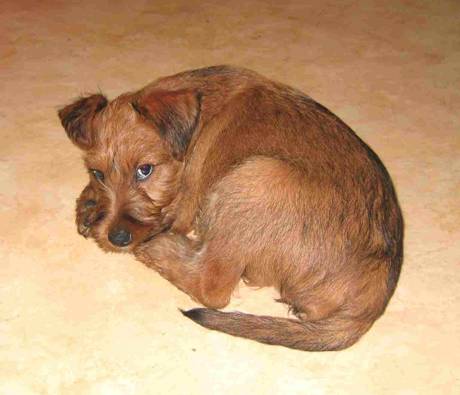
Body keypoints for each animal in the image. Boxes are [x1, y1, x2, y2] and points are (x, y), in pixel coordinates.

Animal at [57, 65, 402, 352]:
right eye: (97, 173)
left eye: (145, 170)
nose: (116, 238)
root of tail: (373, 297)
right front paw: (89, 204)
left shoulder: (185, 202)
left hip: (258, 176)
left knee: (211, 285)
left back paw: (160, 248)